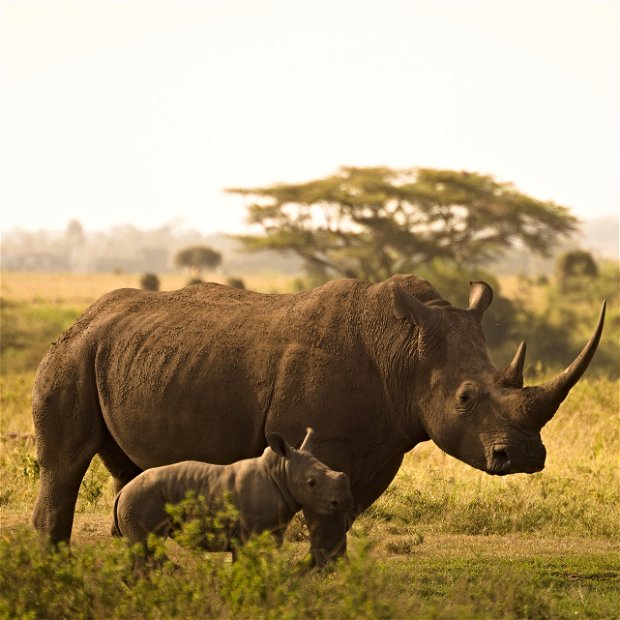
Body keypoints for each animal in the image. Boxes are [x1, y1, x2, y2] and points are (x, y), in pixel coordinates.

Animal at [113, 428, 352, 564]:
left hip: (135, 500)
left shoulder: (268, 532)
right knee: (147, 550)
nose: (342, 502)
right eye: (311, 483)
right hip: (140, 500)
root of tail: (123, 491)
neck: (281, 472)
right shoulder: (250, 532)